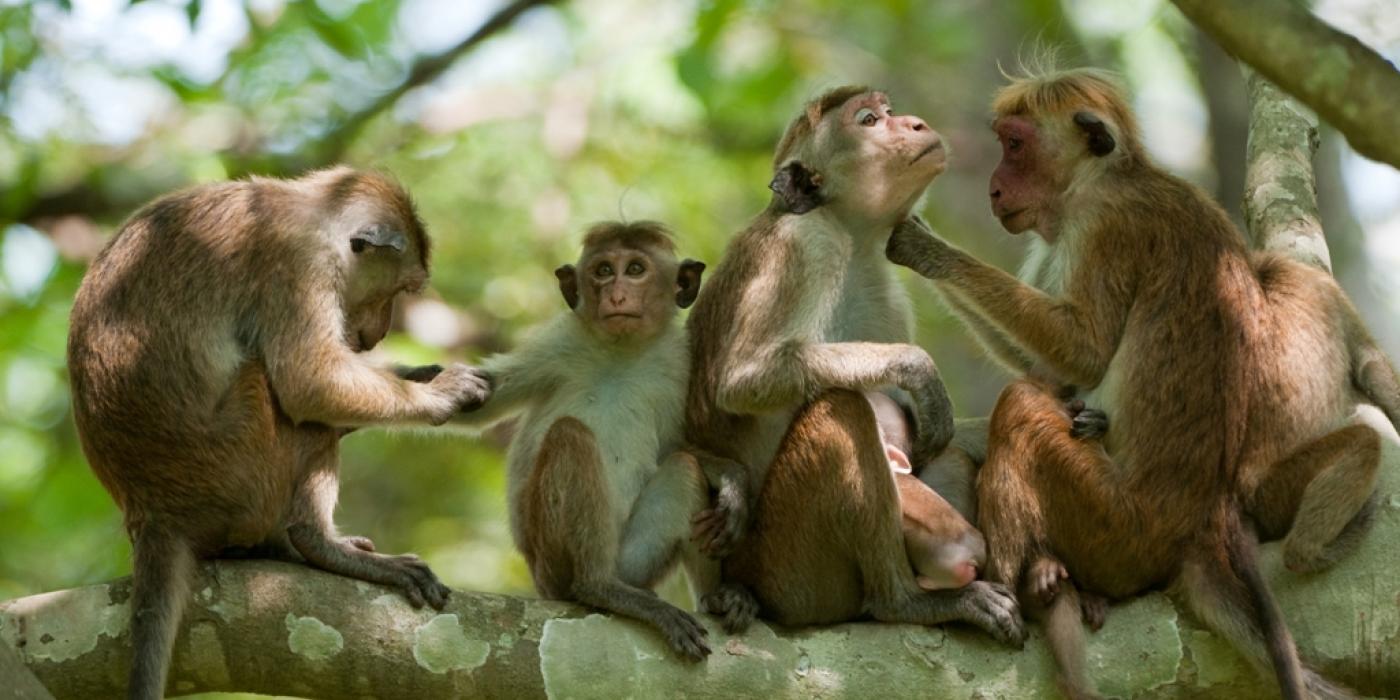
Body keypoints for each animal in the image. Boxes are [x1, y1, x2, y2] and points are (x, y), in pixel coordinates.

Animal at [65, 166, 492, 697]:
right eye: (398, 290)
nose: (377, 334)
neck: (311, 212)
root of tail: (152, 514)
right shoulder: (297, 268)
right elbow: (309, 382)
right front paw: (439, 395)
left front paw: (417, 374)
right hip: (239, 470)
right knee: (285, 398)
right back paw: (315, 543)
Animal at [453, 221, 750, 658]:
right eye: (604, 270)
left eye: (636, 269)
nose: (617, 295)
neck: (621, 350)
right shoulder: (557, 342)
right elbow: (478, 402)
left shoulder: (681, 362)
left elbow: (677, 447)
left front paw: (732, 480)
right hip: (552, 564)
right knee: (569, 435)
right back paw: (599, 588)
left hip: (633, 562)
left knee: (684, 470)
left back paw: (713, 599)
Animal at [683, 83, 1024, 644]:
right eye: (868, 120)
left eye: (889, 112)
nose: (914, 124)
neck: (850, 236)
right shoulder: (801, 248)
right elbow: (743, 379)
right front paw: (917, 369)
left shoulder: (883, 290)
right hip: (790, 570)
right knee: (840, 410)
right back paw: (904, 602)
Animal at [890, 68, 1394, 700]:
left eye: (1015, 145)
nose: (995, 189)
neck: (1106, 175)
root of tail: (1200, 525)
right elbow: (1052, 370)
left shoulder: (1103, 223)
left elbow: (1081, 354)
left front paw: (925, 248)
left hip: (1119, 526)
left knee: (1023, 409)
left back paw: (1020, 585)